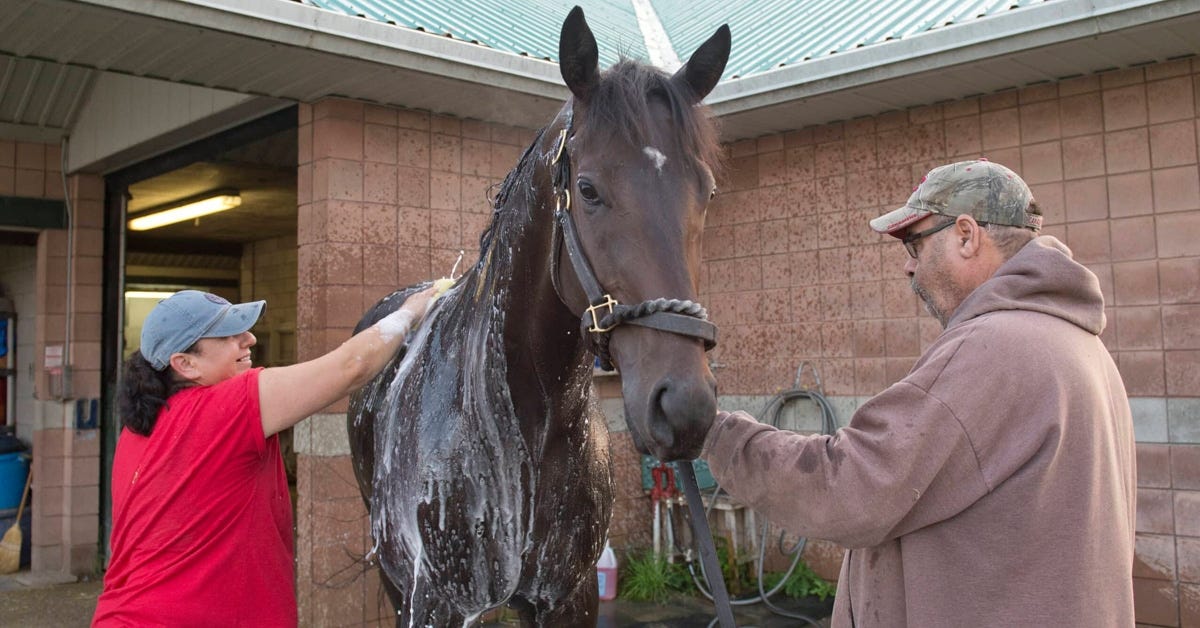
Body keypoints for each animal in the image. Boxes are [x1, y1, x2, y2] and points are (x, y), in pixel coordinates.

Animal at [343, 7, 724, 624]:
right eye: (588, 189)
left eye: (706, 192)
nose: (684, 407)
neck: (525, 423)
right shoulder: (437, 599)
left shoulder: (569, 596)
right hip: (396, 581)